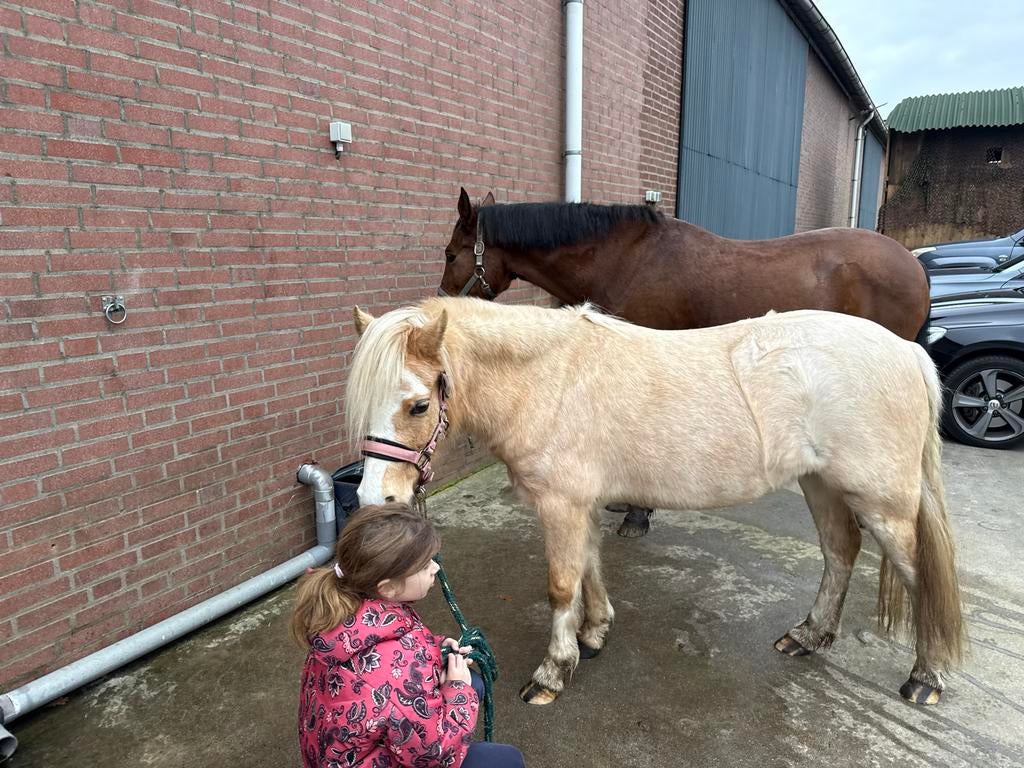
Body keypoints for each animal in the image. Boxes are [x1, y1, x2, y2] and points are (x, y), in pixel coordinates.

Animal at [346, 297, 964, 708]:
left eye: (419, 405)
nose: (376, 499)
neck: (550, 379)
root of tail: (908, 350)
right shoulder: (583, 503)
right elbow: (590, 569)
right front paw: (594, 635)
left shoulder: (561, 504)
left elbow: (562, 585)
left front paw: (553, 672)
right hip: (822, 483)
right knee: (840, 552)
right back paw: (810, 635)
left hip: (882, 503)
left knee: (919, 575)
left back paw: (926, 678)